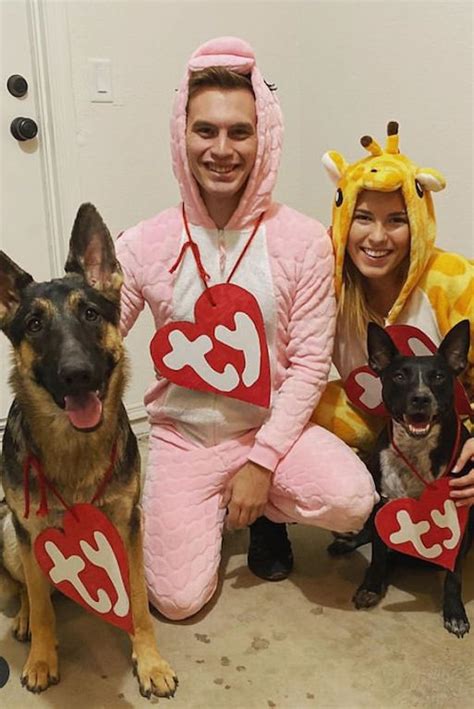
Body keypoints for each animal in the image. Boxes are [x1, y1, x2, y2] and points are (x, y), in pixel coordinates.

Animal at [0, 202, 177, 696]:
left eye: (92, 315)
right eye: (34, 324)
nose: (77, 373)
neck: (74, 448)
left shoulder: (127, 524)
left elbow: (137, 599)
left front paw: (149, 661)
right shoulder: (30, 531)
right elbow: (41, 604)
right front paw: (42, 659)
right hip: (9, 534)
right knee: (26, 587)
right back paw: (23, 619)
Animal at [354, 320, 472, 636]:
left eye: (439, 377)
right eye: (398, 376)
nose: (421, 398)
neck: (416, 449)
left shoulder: (461, 517)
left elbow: (454, 574)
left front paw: (454, 612)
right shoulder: (382, 507)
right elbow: (378, 555)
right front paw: (372, 585)